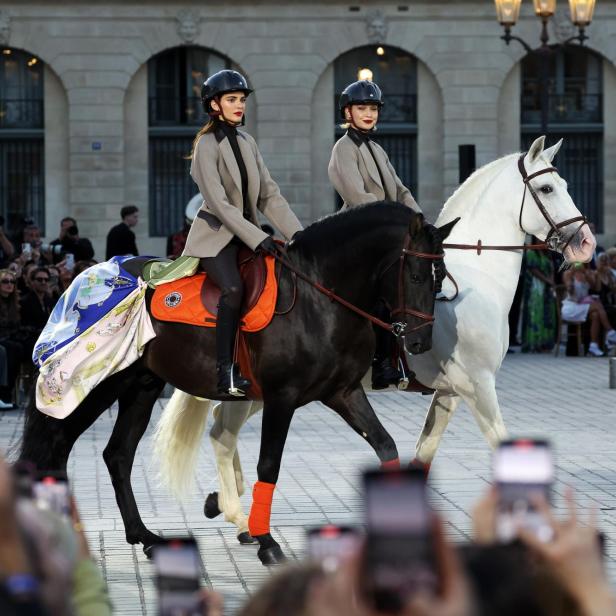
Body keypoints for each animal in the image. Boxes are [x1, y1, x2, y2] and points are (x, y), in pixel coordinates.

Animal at [154, 138, 596, 540]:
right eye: (547, 189)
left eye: (565, 184)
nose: (586, 243)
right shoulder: (477, 385)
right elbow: (501, 443)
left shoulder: (451, 392)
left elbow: (423, 452)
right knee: (222, 433)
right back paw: (238, 514)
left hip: (260, 391)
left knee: (220, 430)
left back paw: (230, 508)